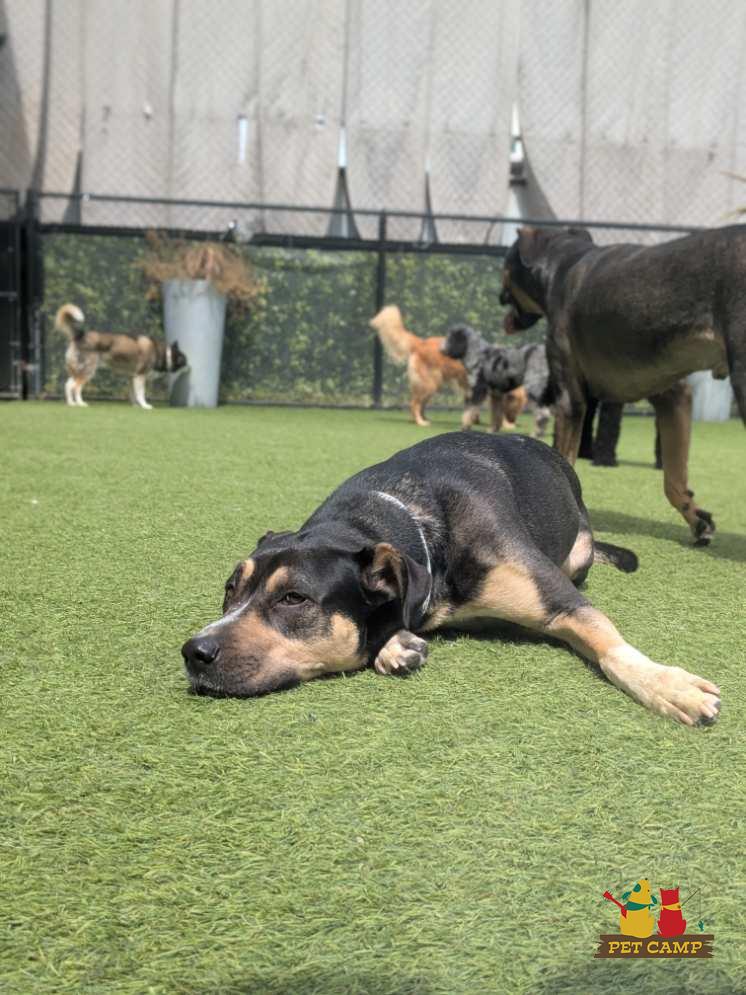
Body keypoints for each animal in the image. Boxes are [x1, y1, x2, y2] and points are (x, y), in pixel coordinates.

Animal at [55, 303, 187, 409]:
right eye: (185, 360)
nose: (190, 367)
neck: (163, 353)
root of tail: (79, 335)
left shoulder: (132, 377)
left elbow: (133, 394)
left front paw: (136, 406)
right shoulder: (140, 376)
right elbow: (141, 394)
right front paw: (145, 406)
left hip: (77, 371)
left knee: (68, 385)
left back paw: (71, 404)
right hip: (88, 372)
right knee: (76, 388)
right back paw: (81, 403)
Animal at [181, 432, 720, 726]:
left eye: (294, 599)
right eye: (230, 590)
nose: (194, 652)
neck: (410, 519)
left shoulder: (558, 599)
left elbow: (611, 646)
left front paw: (668, 686)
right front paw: (395, 643)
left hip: (580, 549)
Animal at [500, 226, 746, 544]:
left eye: (504, 266)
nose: (498, 296)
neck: (561, 264)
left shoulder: (570, 401)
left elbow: (563, 460)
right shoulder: (673, 397)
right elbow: (673, 477)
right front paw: (697, 520)